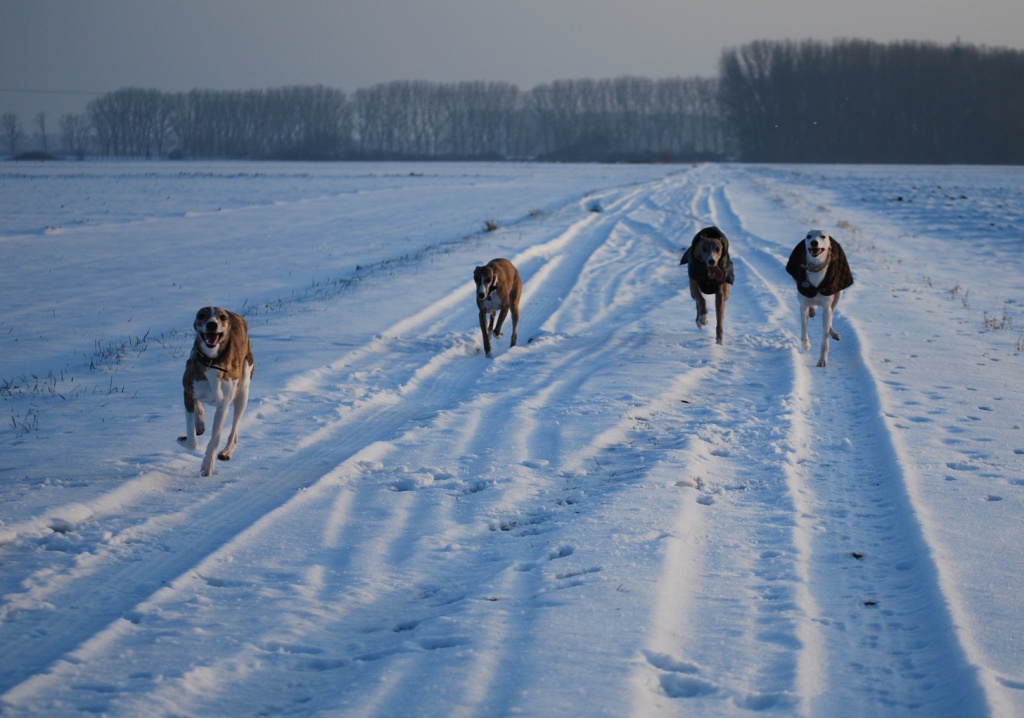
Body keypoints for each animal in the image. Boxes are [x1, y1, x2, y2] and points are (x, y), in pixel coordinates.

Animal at [179, 305, 254, 473]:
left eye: (222, 317)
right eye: (201, 315)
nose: (212, 324)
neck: (211, 362)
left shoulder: (223, 406)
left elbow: (215, 439)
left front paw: (207, 466)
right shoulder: (188, 392)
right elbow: (192, 440)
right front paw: (186, 437)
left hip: (243, 391)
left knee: (234, 430)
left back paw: (226, 452)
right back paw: (200, 422)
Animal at [782, 229, 856, 366]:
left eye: (823, 236)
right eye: (808, 236)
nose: (814, 242)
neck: (816, 268)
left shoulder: (826, 307)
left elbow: (825, 338)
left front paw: (822, 360)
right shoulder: (803, 306)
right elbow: (803, 329)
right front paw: (806, 345)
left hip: (838, 295)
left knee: (831, 315)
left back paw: (833, 332)